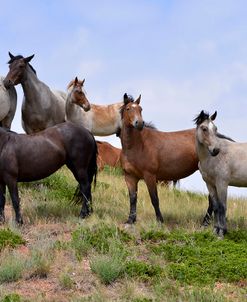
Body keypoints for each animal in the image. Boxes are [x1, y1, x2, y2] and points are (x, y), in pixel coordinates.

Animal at [119, 94, 199, 224]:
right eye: (128, 108)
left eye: (140, 109)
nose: (139, 123)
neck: (136, 146)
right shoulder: (130, 177)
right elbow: (133, 198)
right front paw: (131, 219)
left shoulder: (150, 176)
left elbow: (154, 199)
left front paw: (159, 220)